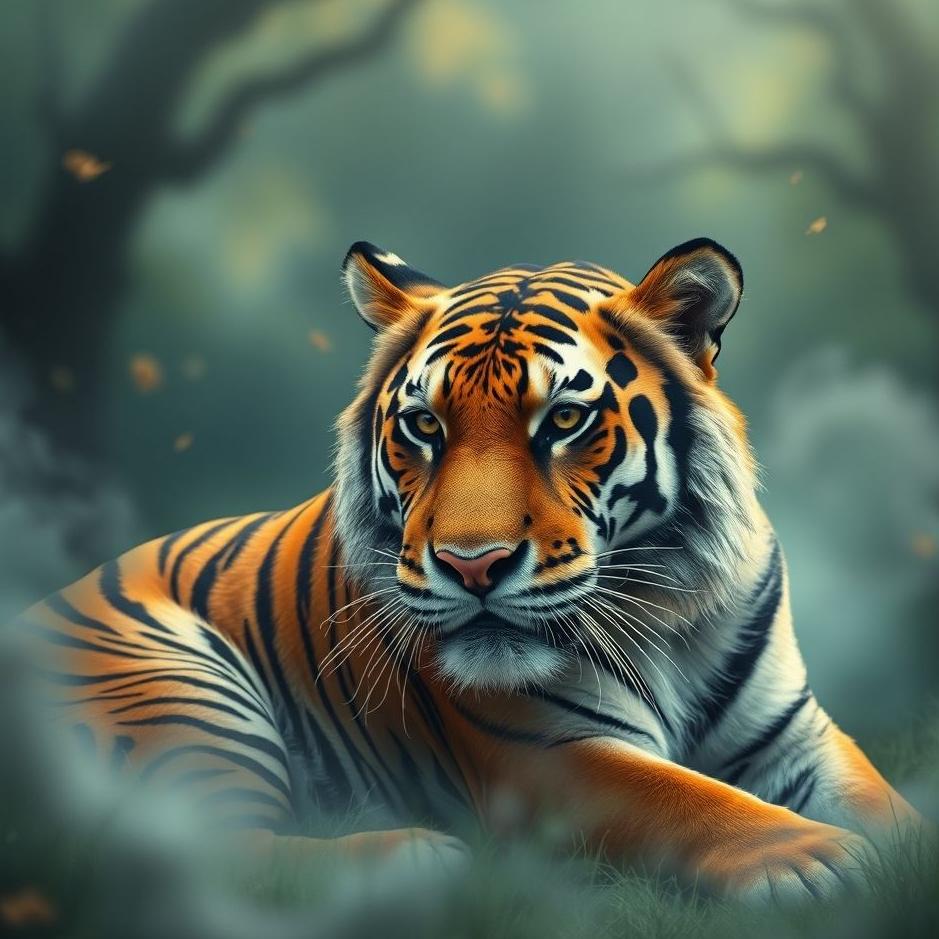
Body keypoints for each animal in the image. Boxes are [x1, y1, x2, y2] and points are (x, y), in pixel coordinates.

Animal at [16, 237, 923, 903]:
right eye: (424, 425)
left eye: (563, 418)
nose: (471, 564)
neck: (662, 607)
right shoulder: (545, 753)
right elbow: (690, 798)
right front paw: (819, 857)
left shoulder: (796, 733)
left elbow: (885, 804)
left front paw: (908, 857)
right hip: (177, 688)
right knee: (200, 848)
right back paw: (418, 857)